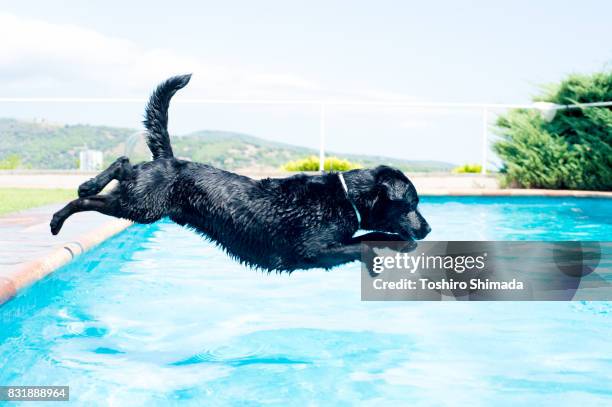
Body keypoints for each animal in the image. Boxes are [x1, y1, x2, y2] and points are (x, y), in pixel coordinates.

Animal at [51, 75, 430, 272]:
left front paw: (400, 245)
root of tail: (168, 158)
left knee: (121, 169)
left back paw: (82, 191)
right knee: (112, 174)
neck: (345, 196)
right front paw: (381, 257)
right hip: (142, 206)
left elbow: (369, 236)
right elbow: (359, 245)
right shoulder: (311, 252)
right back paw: (64, 211)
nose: (427, 228)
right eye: (412, 203)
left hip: (140, 200)